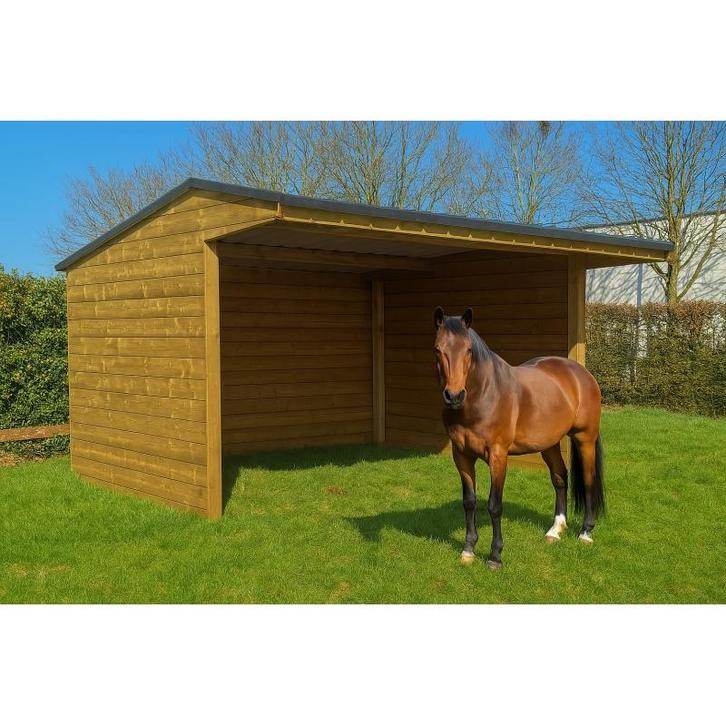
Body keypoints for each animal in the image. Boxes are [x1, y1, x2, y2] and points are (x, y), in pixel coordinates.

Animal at [433, 306, 605, 570]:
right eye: (438, 349)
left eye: (469, 350)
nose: (454, 396)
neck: (483, 395)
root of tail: (582, 374)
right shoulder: (461, 455)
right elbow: (469, 501)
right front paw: (468, 550)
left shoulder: (497, 456)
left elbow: (494, 505)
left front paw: (495, 556)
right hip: (549, 444)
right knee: (560, 478)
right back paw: (555, 530)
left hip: (585, 438)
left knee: (588, 480)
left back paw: (585, 533)